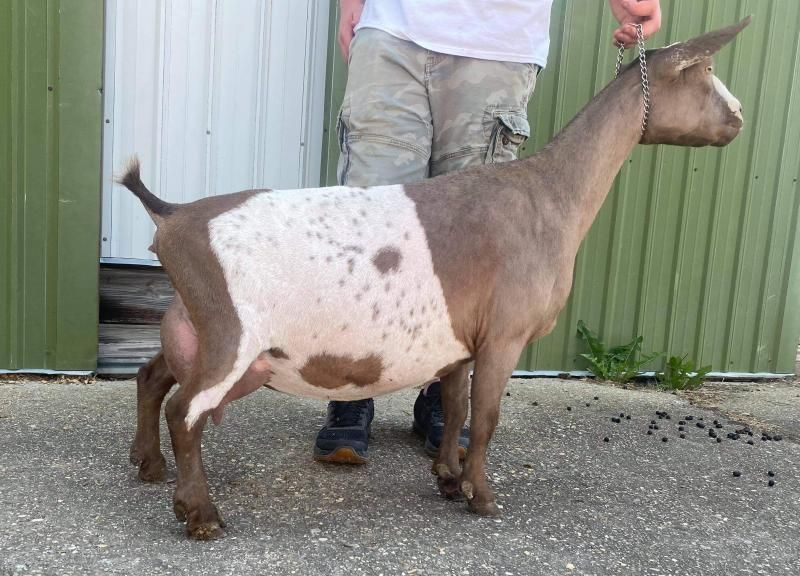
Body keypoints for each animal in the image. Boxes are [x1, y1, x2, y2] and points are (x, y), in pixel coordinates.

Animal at [122, 18, 749, 539]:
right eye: (703, 73)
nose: (739, 117)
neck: (548, 193)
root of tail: (173, 216)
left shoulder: (461, 342)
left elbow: (455, 405)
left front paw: (448, 478)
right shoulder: (504, 335)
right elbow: (487, 417)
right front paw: (483, 497)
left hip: (195, 322)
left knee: (153, 375)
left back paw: (148, 465)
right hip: (233, 333)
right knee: (187, 411)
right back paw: (200, 514)